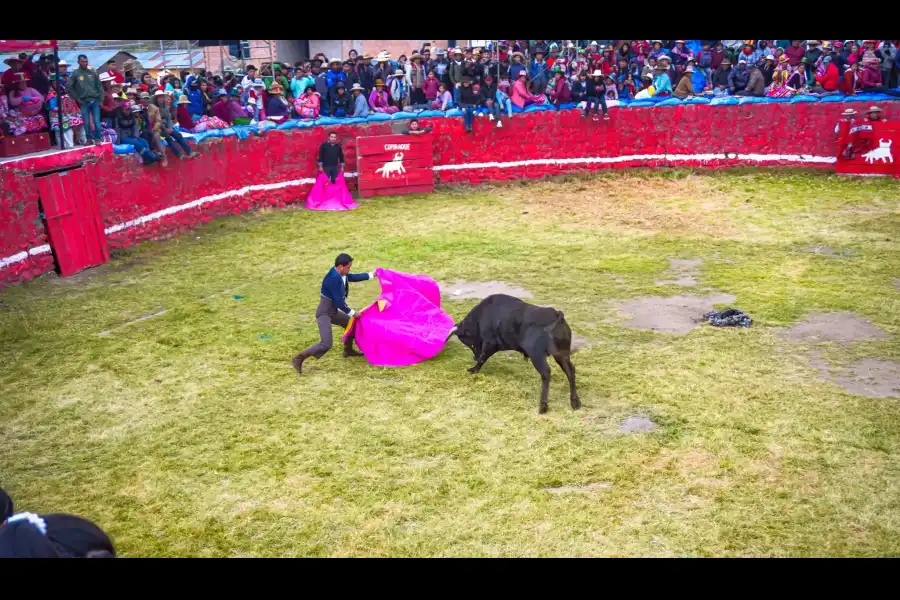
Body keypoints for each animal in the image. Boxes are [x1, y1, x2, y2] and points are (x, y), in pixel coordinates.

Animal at [446, 294, 580, 414]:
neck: (481, 316)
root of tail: (556, 314)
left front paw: (473, 369)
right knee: (570, 371)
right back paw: (575, 402)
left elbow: (483, 357)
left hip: (537, 355)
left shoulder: (490, 343)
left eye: (469, 341)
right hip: (561, 354)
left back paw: (543, 406)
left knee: (546, 373)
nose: (474, 357)